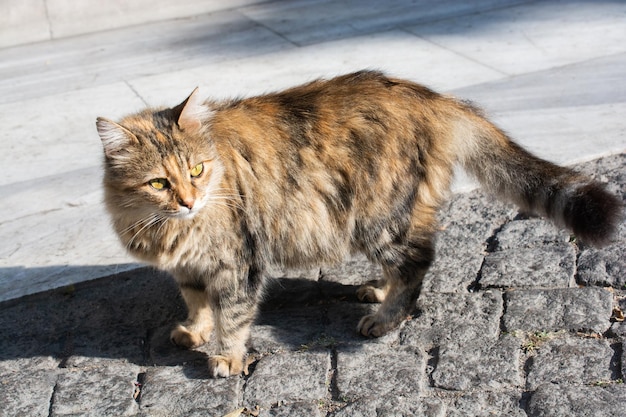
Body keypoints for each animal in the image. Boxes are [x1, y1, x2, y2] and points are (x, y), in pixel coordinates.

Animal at [96, 70, 620, 376]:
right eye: (159, 182)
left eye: (197, 170)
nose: (189, 201)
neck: (170, 228)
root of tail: (431, 97)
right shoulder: (190, 268)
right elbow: (197, 302)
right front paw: (194, 330)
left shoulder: (238, 263)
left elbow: (233, 315)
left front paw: (224, 354)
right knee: (404, 265)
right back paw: (377, 291)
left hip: (380, 217)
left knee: (417, 264)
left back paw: (386, 318)